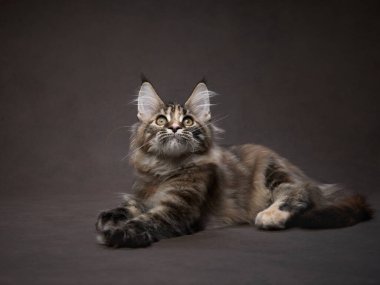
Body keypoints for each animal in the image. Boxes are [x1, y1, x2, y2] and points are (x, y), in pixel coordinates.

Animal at [95, 79, 374, 246]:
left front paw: (116, 233)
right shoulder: (141, 197)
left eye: (187, 121)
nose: (174, 128)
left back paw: (270, 215)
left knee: (298, 193)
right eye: (161, 120)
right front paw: (108, 218)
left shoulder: (176, 211)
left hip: (273, 170)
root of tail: (314, 182)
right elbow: (127, 207)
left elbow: (145, 220)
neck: (165, 169)